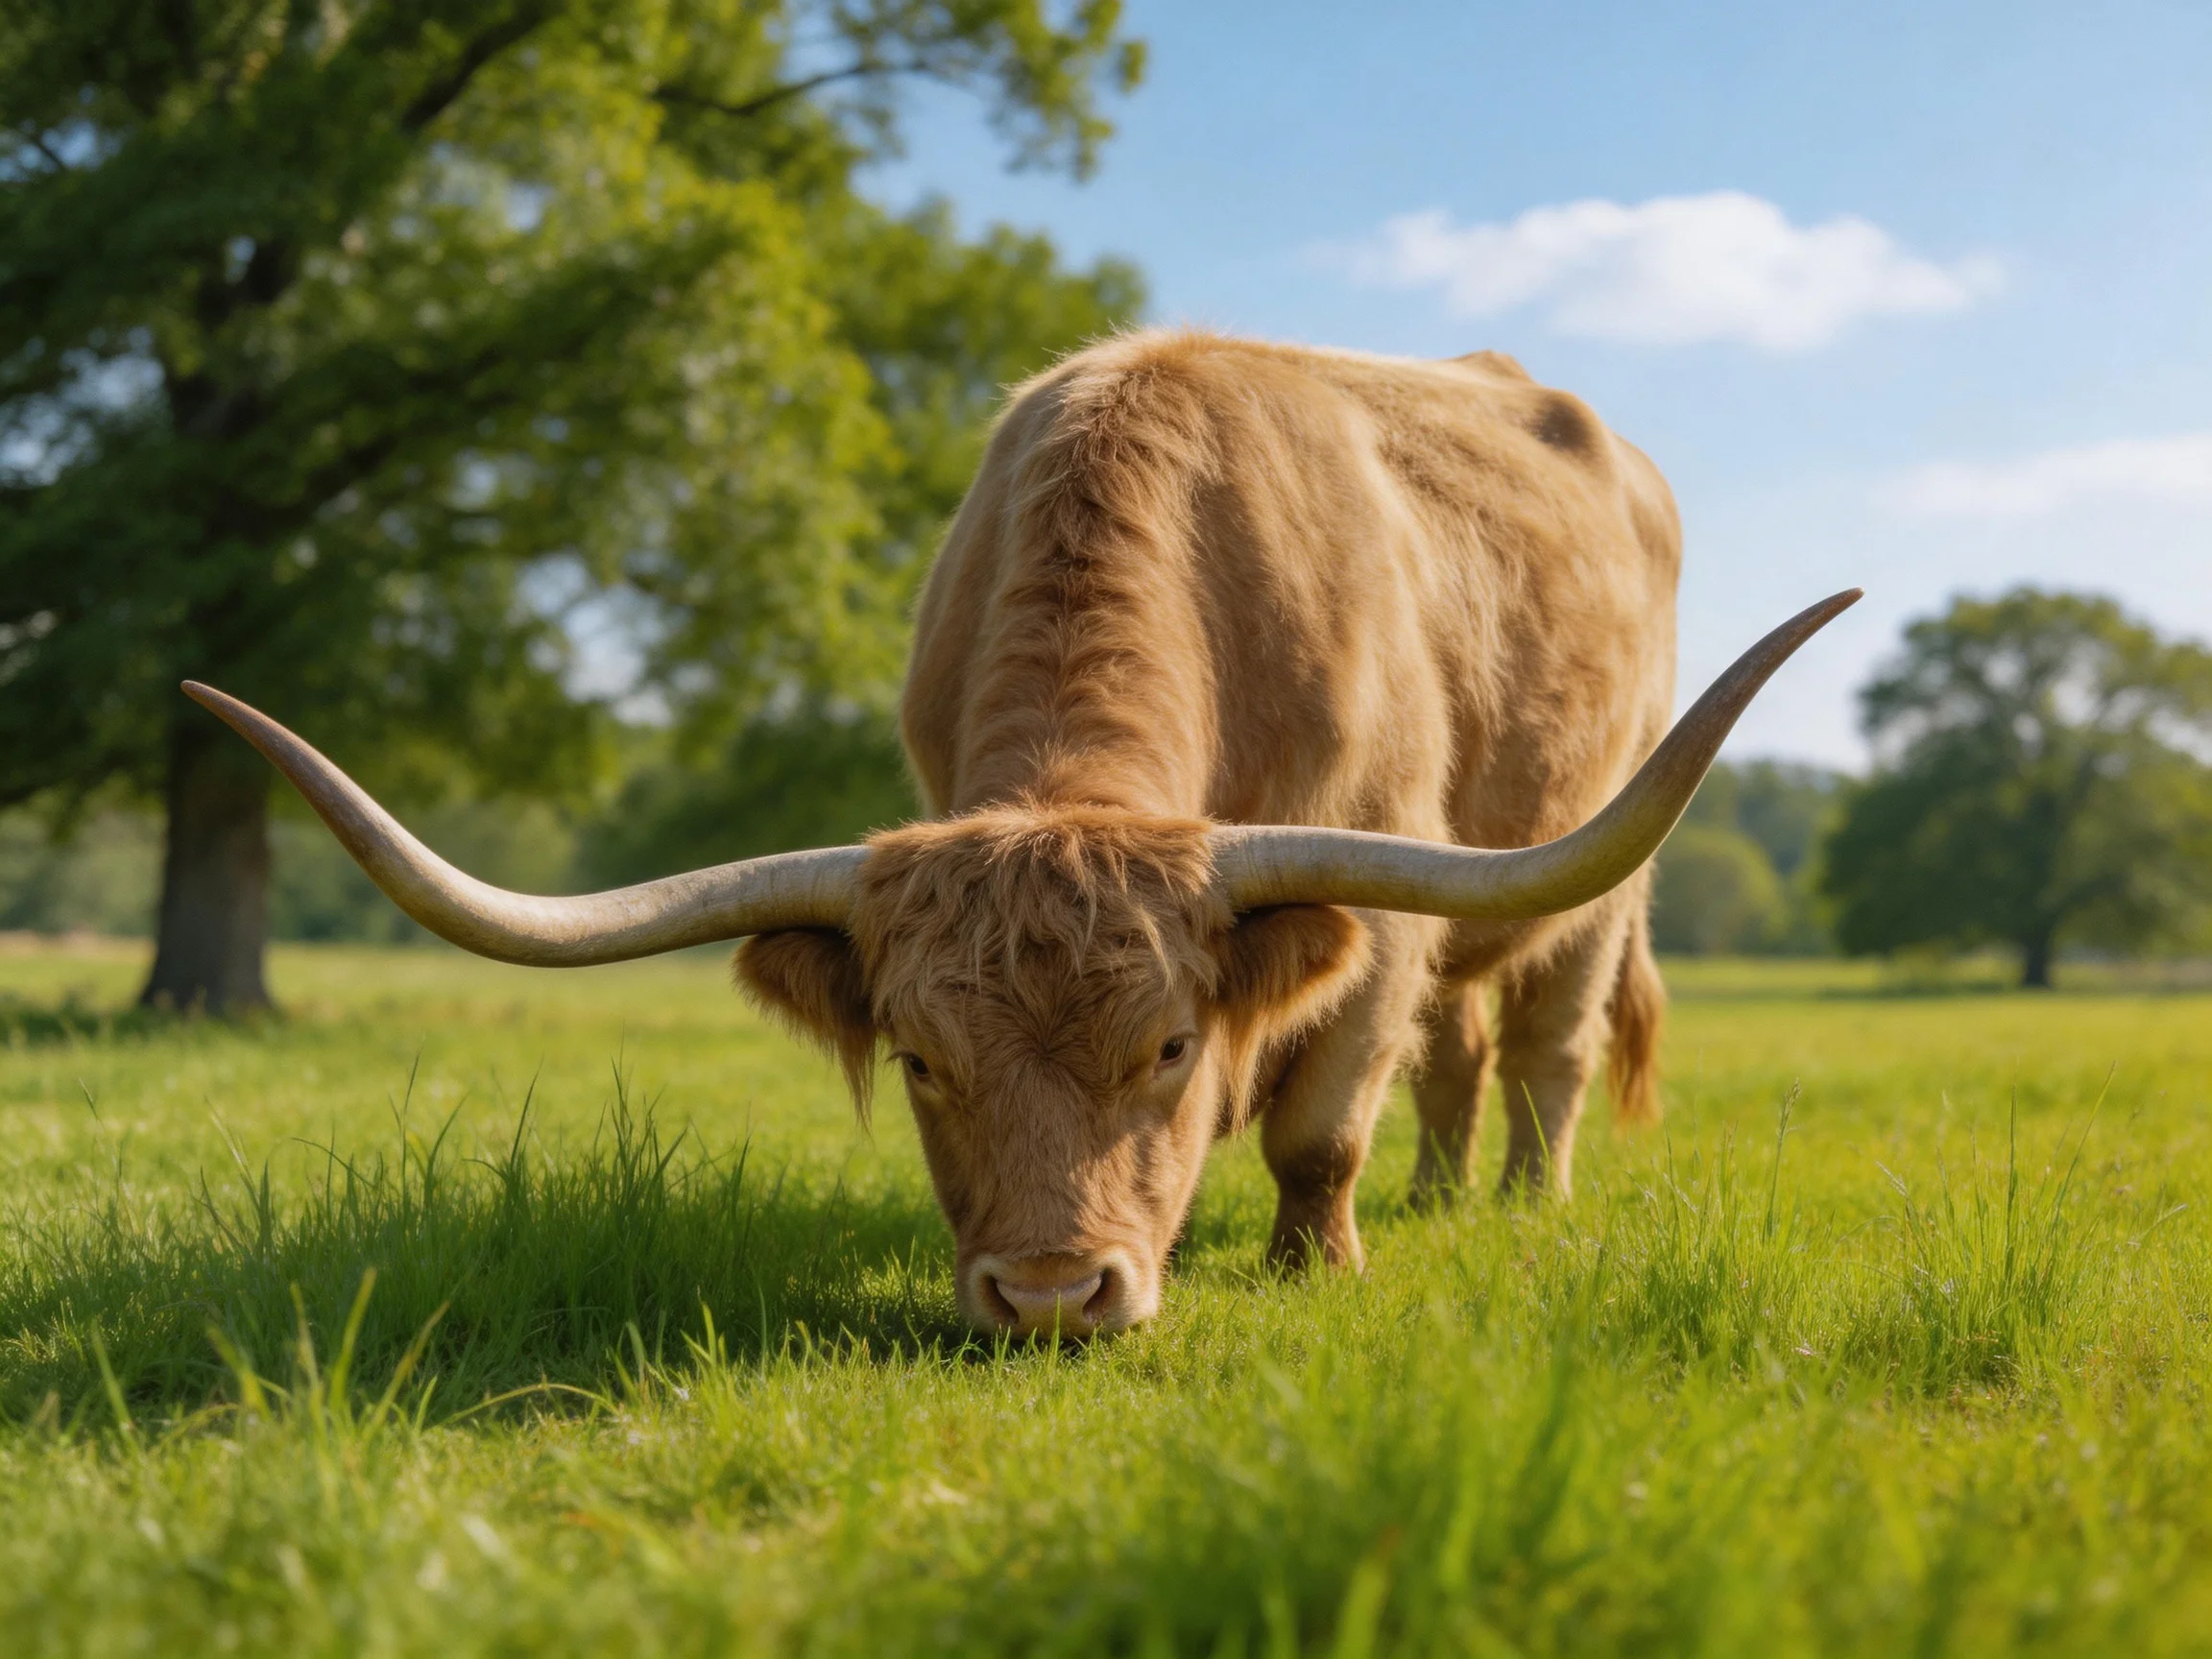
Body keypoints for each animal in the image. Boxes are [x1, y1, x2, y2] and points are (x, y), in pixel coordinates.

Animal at [188, 329, 1855, 1340]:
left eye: (1170, 1047)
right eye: (924, 1062)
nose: (1055, 1297)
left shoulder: (1375, 905)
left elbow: (1322, 1129)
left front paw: (1316, 1266)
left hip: (1599, 884)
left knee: (1544, 1049)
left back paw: (1517, 1204)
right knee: (1455, 1054)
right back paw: (1444, 1196)